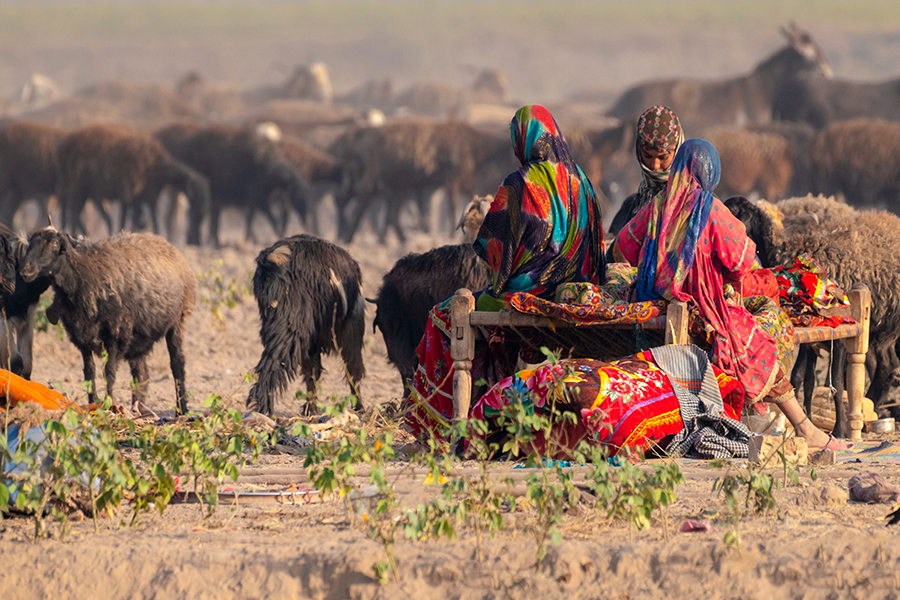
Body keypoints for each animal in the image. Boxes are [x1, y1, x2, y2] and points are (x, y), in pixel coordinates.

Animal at [21, 229, 197, 412]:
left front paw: (107, 405)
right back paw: (137, 408)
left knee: (177, 364)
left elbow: (109, 372)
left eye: (54, 243)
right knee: (141, 373)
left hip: (176, 323)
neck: (84, 277)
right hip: (137, 339)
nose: (26, 269)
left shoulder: (115, 335)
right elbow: (89, 372)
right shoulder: (80, 337)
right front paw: (92, 402)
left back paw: (182, 408)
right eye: (30, 244)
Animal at [56, 124, 211, 241]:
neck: (155, 166)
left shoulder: (149, 197)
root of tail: (62, 146)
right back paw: (77, 233)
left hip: (83, 190)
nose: (201, 213)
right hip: (77, 187)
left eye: (205, 195)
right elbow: (125, 218)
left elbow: (153, 219)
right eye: (198, 195)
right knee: (73, 210)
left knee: (75, 211)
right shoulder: (128, 192)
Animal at [246, 234, 366, 418]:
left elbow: (312, 373)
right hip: (296, 328)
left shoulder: (312, 341)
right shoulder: (350, 328)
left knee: (275, 363)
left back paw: (264, 409)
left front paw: (310, 409)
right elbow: (352, 370)